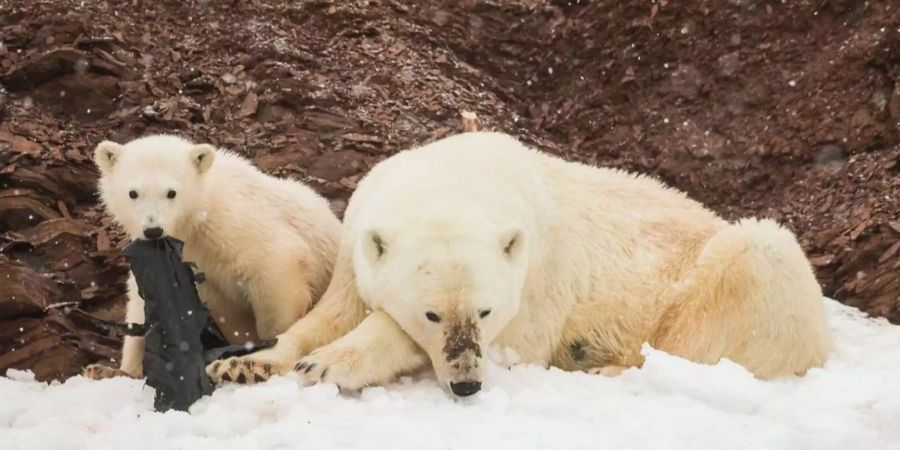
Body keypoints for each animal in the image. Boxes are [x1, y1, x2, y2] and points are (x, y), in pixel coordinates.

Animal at [207, 131, 832, 398]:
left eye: (484, 312)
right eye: (434, 314)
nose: (466, 386)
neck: (455, 178)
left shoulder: (536, 280)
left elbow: (513, 340)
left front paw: (328, 365)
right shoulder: (356, 239)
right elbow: (333, 310)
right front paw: (246, 364)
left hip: (733, 271)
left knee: (747, 273)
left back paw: (607, 367)